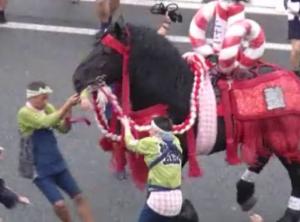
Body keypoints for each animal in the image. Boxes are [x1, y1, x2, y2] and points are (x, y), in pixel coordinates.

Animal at [73, 19, 300, 222]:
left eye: (106, 51)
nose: (77, 79)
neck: (174, 93)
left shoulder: (175, 151)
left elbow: (161, 191)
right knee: (262, 156)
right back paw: (245, 194)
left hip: (284, 135)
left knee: (292, 171)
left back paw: (288, 215)